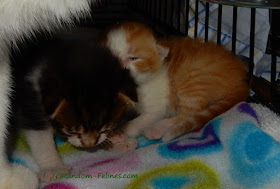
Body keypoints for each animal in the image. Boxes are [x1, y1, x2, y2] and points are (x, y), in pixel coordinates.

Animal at [104, 22, 248, 142]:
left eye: (134, 58)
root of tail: (241, 80)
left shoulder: (156, 105)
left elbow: (143, 119)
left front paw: (124, 132)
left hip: (194, 80)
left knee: (191, 113)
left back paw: (157, 129)